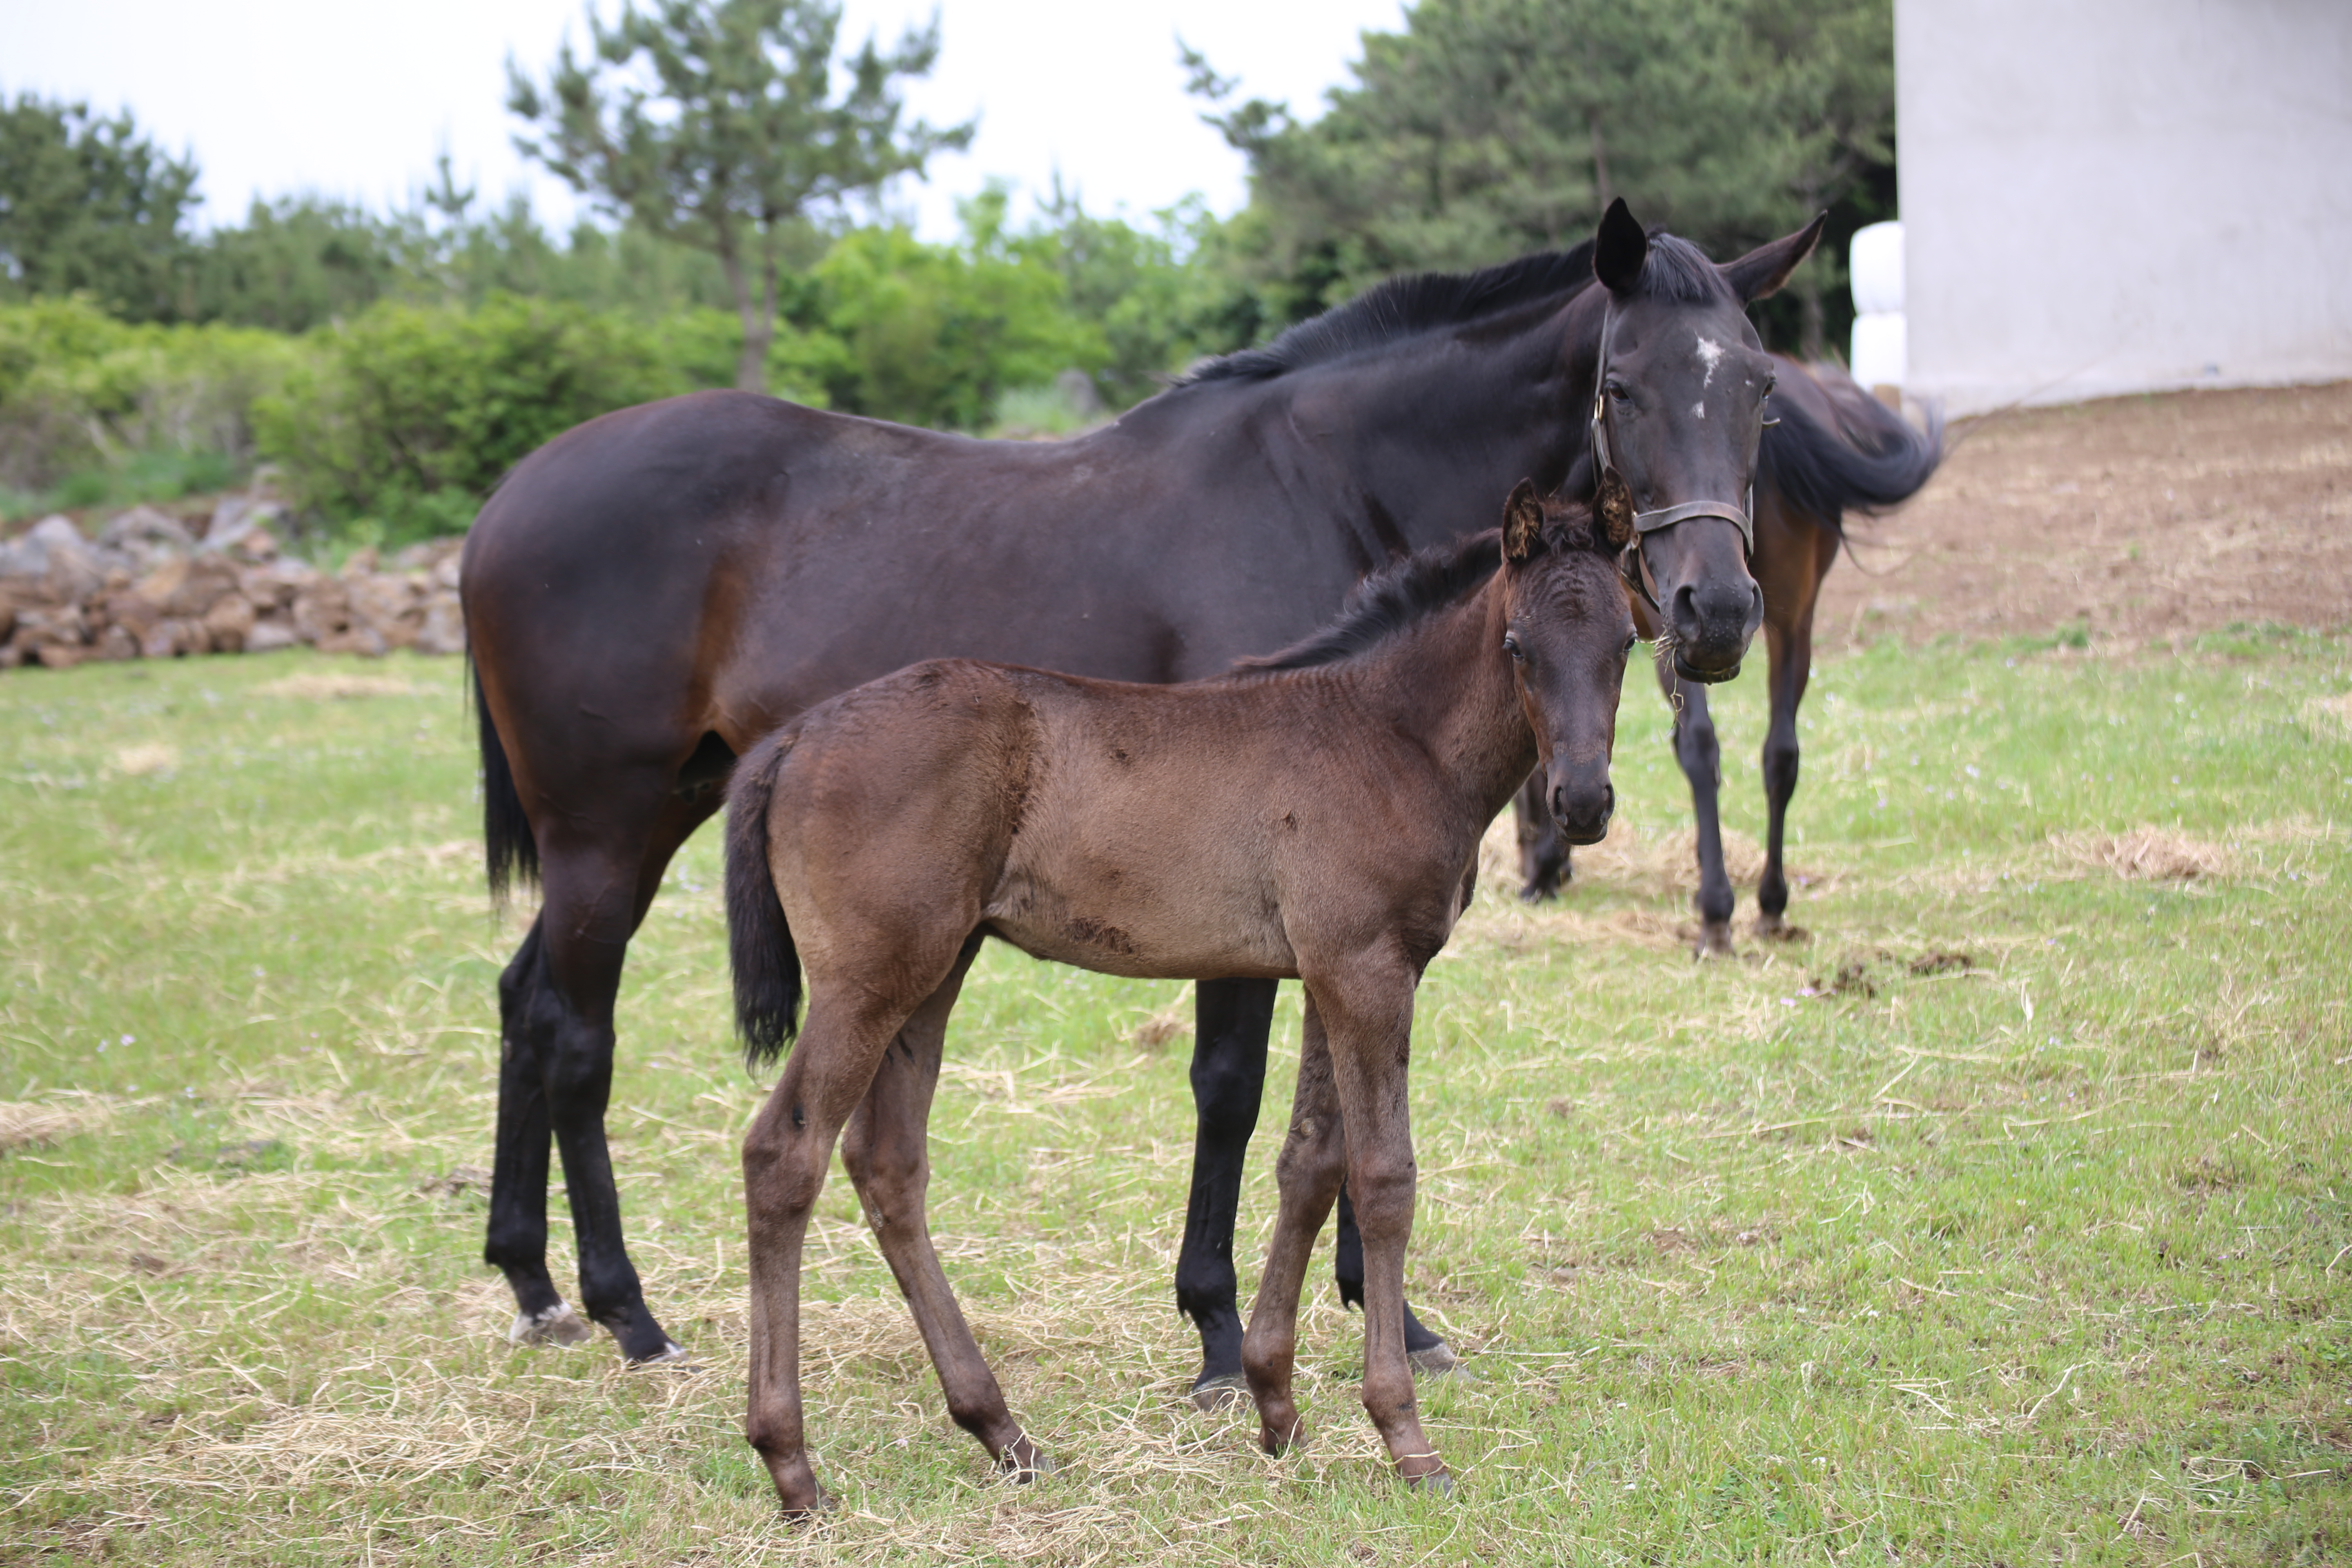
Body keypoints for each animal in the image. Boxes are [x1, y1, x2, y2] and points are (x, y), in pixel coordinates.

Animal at [459, 200, 1806, 1373]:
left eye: (1759, 389)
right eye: (1623, 386)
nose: (1717, 613)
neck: (1327, 483)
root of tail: (503, 503)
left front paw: (1384, 1315)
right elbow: (1232, 1089)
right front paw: (1222, 1325)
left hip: (655, 816)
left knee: (526, 997)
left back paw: (531, 1281)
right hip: (603, 830)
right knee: (577, 1032)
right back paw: (627, 1309)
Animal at [719, 486, 1637, 1504]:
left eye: (1628, 640)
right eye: (1517, 645)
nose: (1584, 801)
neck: (1387, 734)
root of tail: (796, 736)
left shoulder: (1328, 971)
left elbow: (1310, 1163)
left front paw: (1277, 1409)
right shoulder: (1368, 970)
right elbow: (1383, 1177)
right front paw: (1406, 1439)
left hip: (934, 971)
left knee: (887, 1164)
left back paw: (1002, 1432)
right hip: (868, 980)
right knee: (785, 1155)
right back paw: (793, 1464)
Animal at [1515, 362, 1938, 949]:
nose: (1526, 858)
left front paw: (1549, 865)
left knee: (1700, 748)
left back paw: (1716, 911)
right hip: (1786, 620)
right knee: (1781, 753)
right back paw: (1771, 902)